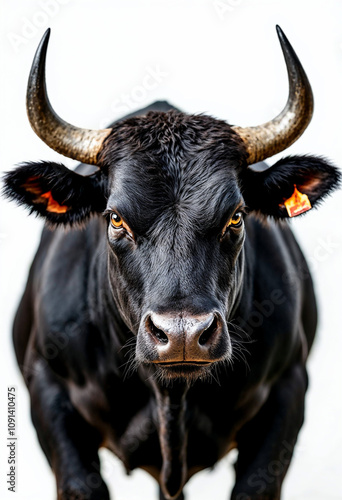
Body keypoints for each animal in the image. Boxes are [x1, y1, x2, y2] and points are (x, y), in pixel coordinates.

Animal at [2, 26, 340, 500]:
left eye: (236, 215)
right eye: (115, 217)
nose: (182, 335)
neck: (170, 401)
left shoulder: (286, 392)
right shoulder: (50, 392)